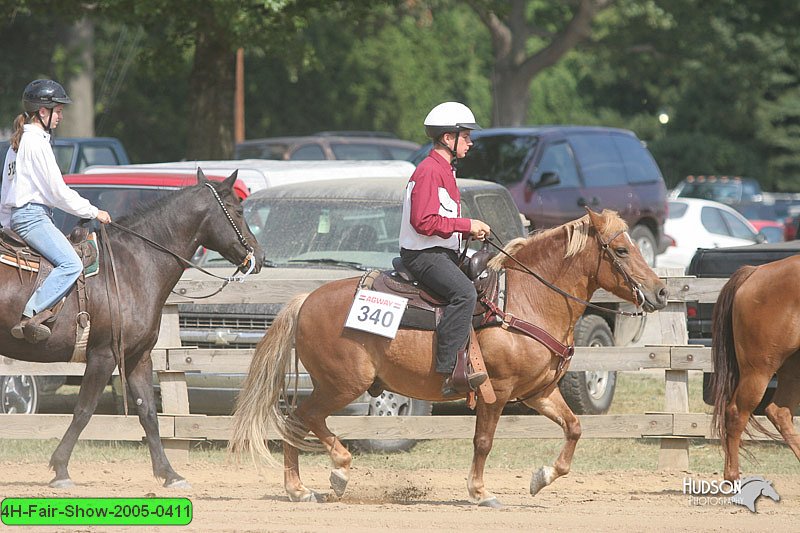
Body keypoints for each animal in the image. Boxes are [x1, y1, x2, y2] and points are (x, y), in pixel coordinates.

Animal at [0, 170, 262, 486]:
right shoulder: (104, 355)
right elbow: (84, 411)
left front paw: (169, 474)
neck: (134, 266)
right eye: (239, 211)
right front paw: (60, 469)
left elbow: (148, 412)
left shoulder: (138, 356)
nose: (259, 257)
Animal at [231, 207, 668, 502]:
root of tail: (305, 300)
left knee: (297, 421)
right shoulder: (498, 390)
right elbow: (484, 441)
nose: (661, 291)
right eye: (621, 250)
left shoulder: (538, 392)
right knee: (304, 418)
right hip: (342, 384)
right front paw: (479, 492)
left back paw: (299, 488)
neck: (525, 300)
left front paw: (541, 476)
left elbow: (574, 427)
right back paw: (334, 472)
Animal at [708, 256, 800, 480]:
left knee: (780, 412)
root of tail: (755, 272)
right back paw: (732, 476)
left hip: (792, 369)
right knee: (735, 414)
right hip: (758, 372)